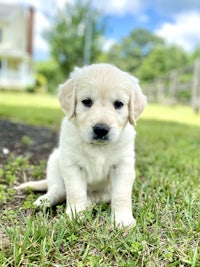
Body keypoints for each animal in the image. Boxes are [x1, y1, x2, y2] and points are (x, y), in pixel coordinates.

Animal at [16, 63, 147, 228]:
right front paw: (75, 215)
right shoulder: (72, 166)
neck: (98, 147)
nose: (101, 129)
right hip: (55, 161)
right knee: (58, 190)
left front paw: (122, 219)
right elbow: (75, 192)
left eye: (118, 104)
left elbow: (121, 195)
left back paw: (89, 204)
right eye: (86, 101)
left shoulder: (123, 166)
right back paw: (44, 201)